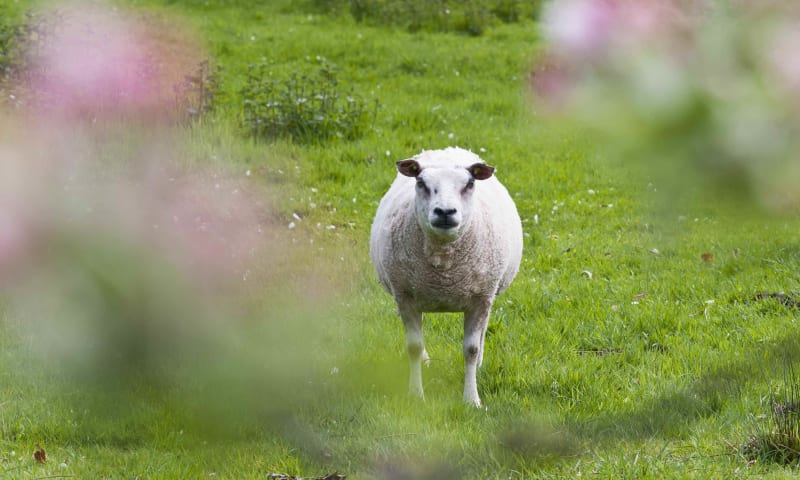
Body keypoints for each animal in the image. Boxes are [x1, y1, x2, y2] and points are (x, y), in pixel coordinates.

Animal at [370, 146, 524, 404]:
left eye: (469, 183)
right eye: (421, 182)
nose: (444, 212)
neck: (444, 269)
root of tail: (447, 150)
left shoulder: (481, 298)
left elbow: (470, 349)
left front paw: (471, 399)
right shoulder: (405, 296)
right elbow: (413, 346)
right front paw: (416, 395)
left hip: (488, 292)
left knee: (483, 331)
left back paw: (480, 362)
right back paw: (425, 360)